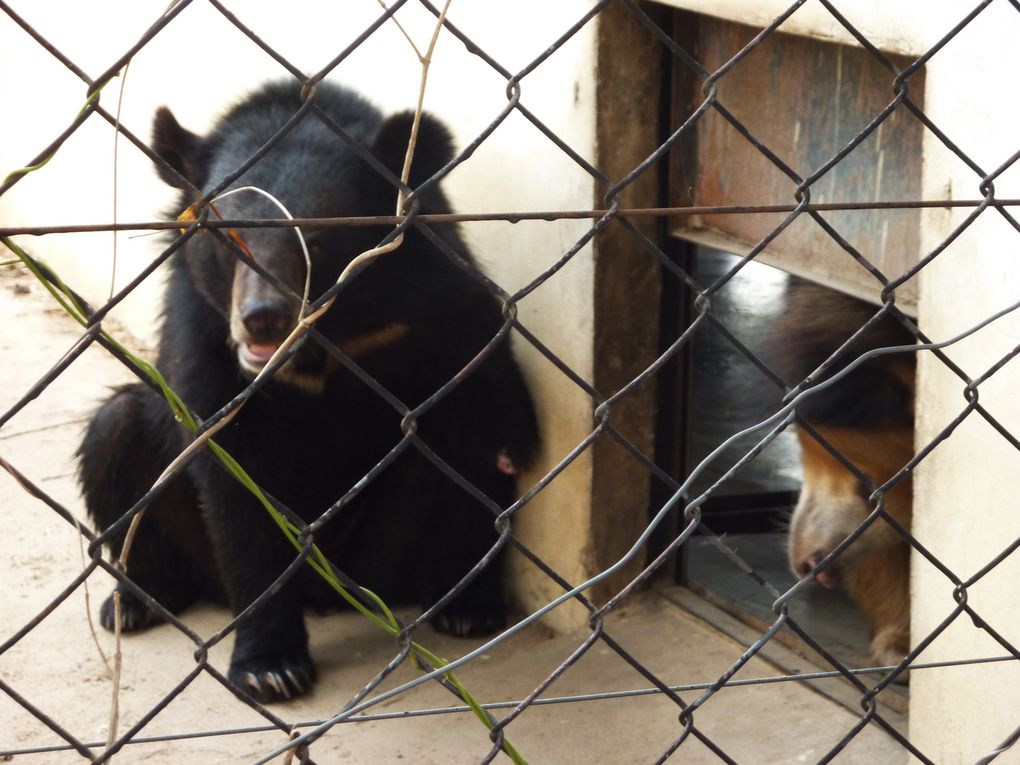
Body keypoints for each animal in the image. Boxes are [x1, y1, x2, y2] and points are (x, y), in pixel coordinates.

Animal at [77, 81, 542, 705]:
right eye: (228, 239)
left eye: (319, 241)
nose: (263, 319)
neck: (325, 341)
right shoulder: (201, 326)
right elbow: (232, 479)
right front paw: (270, 669)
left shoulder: (441, 299)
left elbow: (485, 409)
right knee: (116, 429)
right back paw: (134, 602)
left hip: (381, 555)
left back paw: (462, 606)